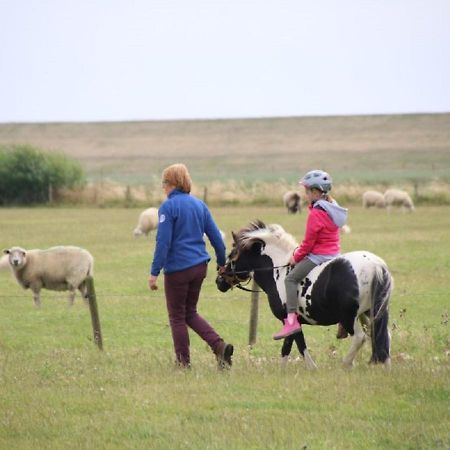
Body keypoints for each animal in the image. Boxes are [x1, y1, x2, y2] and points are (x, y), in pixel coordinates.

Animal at [216, 220, 392, 368]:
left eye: (231, 254)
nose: (219, 281)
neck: (279, 271)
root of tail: (375, 265)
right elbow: (288, 347)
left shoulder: (289, 320)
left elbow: (298, 345)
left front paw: (311, 368)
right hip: (369, 313)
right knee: (382, 336)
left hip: (349, 317)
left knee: (360, 337)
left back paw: (346, 364)